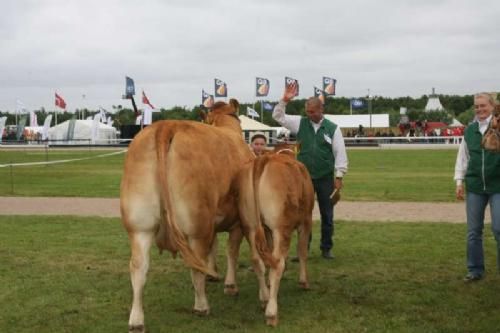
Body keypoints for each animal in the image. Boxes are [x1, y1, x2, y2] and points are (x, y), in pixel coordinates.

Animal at [121, 99, 254, 332]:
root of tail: (166, 125)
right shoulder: (237, 221)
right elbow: (231, 251)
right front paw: (229, 284)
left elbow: (214, 247)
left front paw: (213, 273)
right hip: (196, 225)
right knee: (195, 263)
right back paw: (201, 306)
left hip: (139, 226)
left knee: (138, 267)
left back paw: (136, 320)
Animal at [236, 145, 314, 324]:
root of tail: (265, 159)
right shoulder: (306, 220)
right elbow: (302, 252)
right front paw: (304, 282)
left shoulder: (266, 229)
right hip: (281, 227)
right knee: (277, 263)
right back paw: (272, 312)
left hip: (250, 225)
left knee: (258, 260)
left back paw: (264, 297)